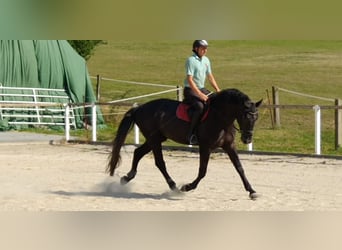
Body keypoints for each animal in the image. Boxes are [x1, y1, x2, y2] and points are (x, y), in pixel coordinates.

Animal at [107, 88, 262, 199]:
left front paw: (252, 191)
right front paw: (187, 187)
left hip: (156, 138)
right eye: (245, 116)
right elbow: (202, 171)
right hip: (154, 139)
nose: (247, 139)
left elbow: (239, 168)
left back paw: (127, 178)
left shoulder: (229, 146)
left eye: (256, 118)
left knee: (138, 152)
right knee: (159, 162)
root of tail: (139, 108)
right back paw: (174, 187)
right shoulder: (206, 147)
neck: (220, 117)